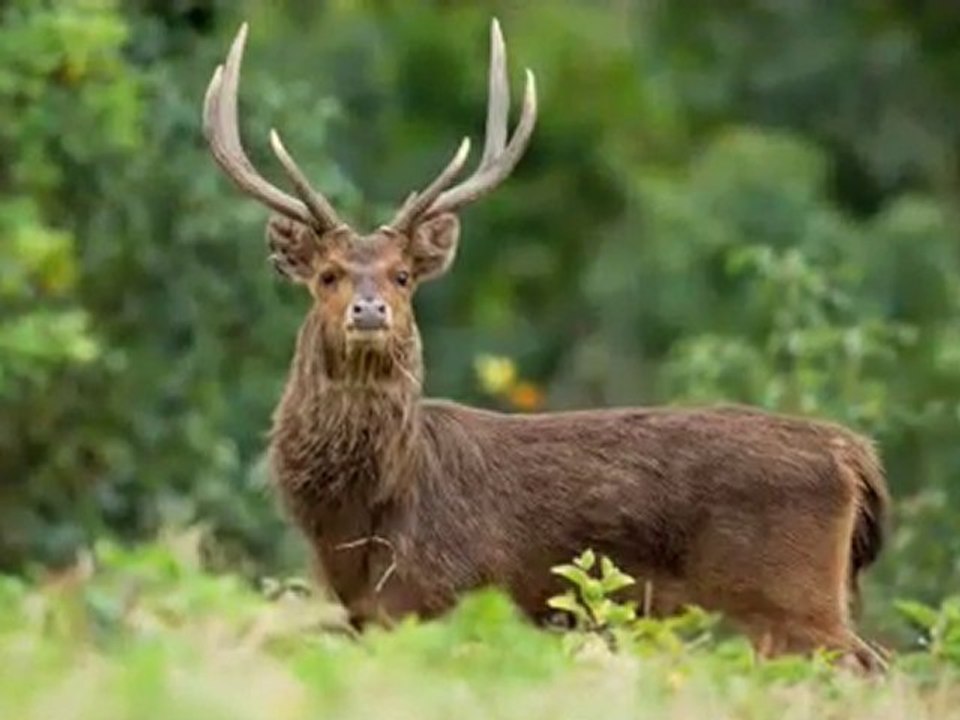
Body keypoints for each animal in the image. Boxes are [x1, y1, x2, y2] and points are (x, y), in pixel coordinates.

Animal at [202, 20, 890, 670]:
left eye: (402, 276)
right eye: (327, 275)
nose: (369, 310)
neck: (359, 519)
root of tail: (852, 456)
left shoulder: (445, 597)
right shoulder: (365, 614)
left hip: (788, 596)